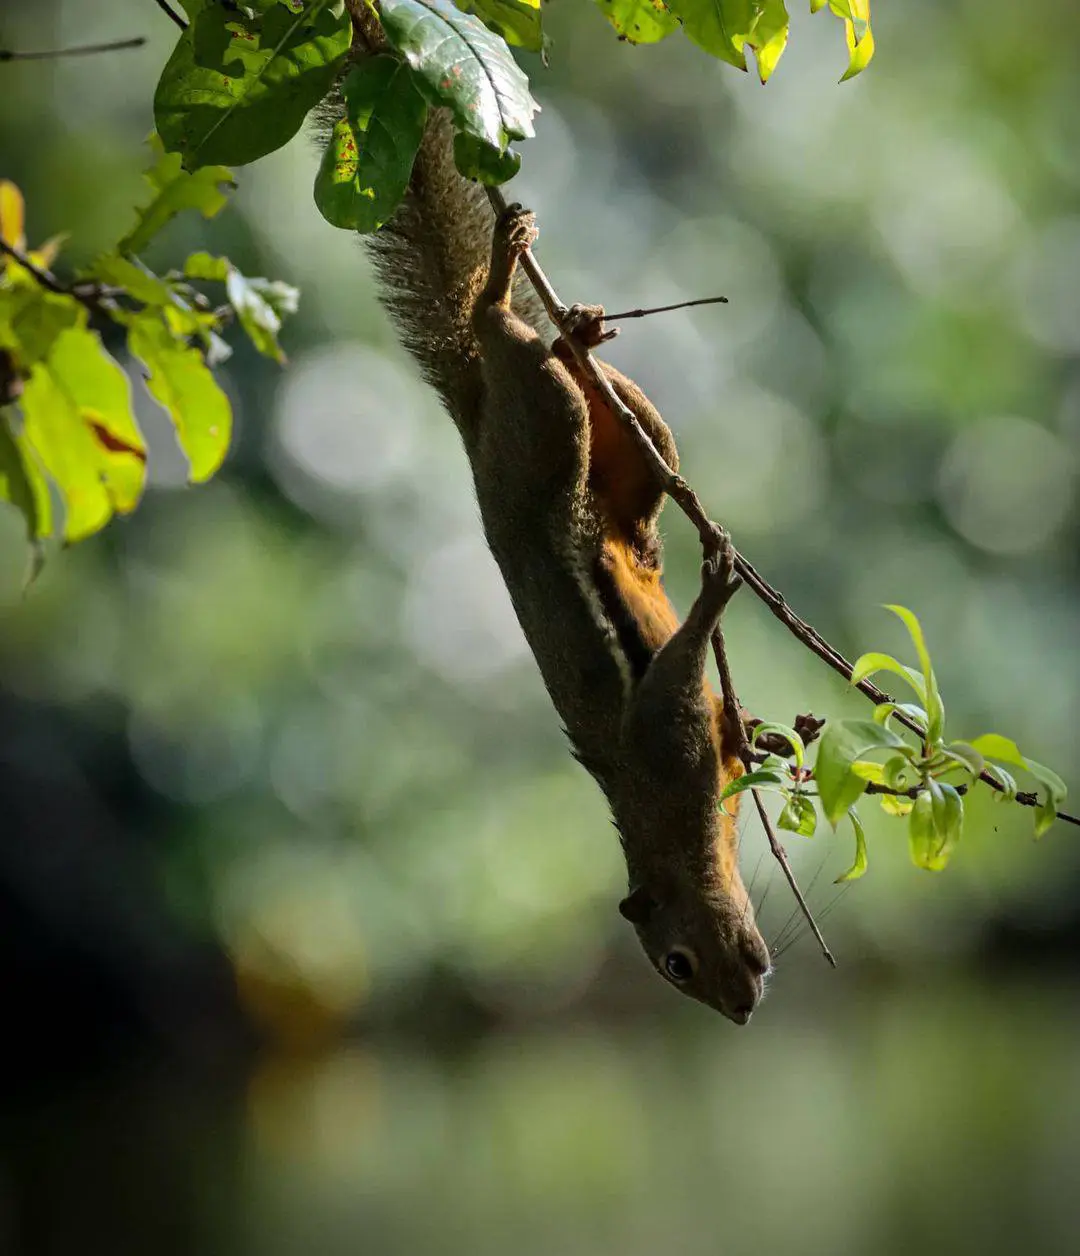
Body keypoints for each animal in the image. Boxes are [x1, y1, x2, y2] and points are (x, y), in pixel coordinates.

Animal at [333, 25, 770, 1021]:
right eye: (677, 967)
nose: (740, 1008)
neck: (676, 832)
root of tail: (473, 413)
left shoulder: (671, 741)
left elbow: (700, 693)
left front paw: (737, 660)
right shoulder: (674, 744)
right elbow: (694, 690)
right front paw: (733, 663)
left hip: (574, 430)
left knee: (564, 381)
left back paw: (545, 312)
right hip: (571, 440)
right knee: (559, 386)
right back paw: (544, 314)